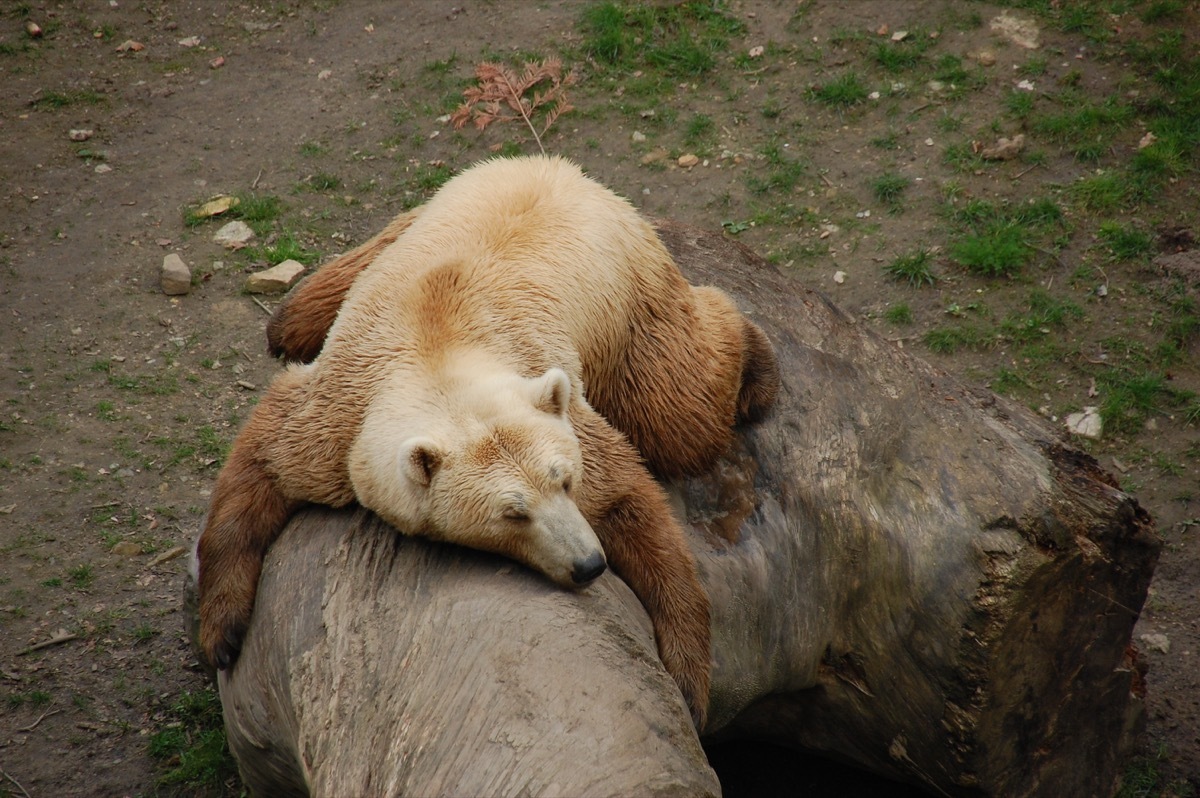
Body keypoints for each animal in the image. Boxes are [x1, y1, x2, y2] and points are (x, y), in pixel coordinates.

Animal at [196, 152, 777, 724]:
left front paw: (686, 670)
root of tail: (559, 166)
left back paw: (758, 369)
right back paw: (287, 318)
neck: (437, 344)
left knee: (680, 410)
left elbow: (623, 493)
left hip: (628, 304)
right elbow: (265, 459)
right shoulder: (342, 411)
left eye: (565, 481)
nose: (589, 564)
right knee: (306, 309)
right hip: (413, 219)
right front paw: (223, 629)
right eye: (513, 513)